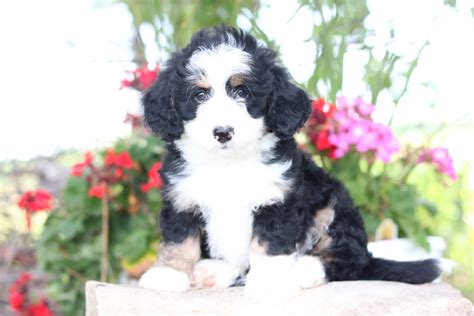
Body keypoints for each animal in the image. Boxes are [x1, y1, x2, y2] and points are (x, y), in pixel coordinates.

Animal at [138, 25, 440, 300]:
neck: (229, 162)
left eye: (243, 92)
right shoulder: (181, 196)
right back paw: (214, 271)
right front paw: (169, 274)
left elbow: (270, 245)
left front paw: (269, 283)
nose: (222, 132)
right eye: (199, 95)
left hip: (334, 205)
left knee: (348, 259)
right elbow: (179, 238)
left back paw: (303, 268)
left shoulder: (279, 201)